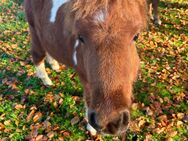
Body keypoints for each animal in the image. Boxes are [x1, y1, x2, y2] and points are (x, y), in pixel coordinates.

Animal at [25, 0, 148, 135]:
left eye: (136, 36)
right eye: (80, 37)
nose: (110, 122)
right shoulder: (85, 79)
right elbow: (88, 99)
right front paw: (91, 129)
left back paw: (54, 65)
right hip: (35, 33)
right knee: (37, 55)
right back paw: (46, 80)